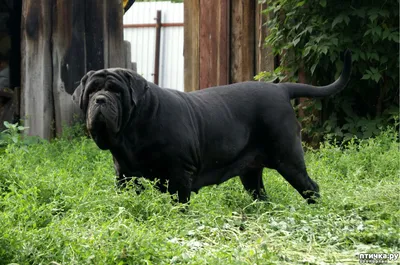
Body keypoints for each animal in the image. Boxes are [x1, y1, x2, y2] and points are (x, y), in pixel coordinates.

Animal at [73, 50, 352, 202]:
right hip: (251, 172)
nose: (100, 99)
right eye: (92, 91)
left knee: (311, 188)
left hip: (288, 159)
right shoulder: (125, 177)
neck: (133, 131)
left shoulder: (179, 175)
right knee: (260, 194)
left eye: (116, 91)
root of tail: (281, 89)